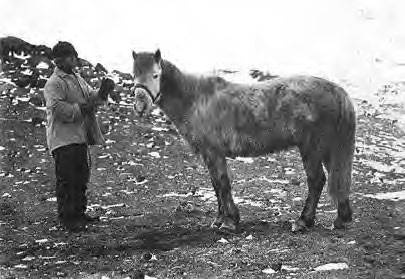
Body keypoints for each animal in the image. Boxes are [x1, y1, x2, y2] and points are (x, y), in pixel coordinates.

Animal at [131, 49, 356, 233]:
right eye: (134, 75)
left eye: (156, 75)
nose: (140, 106)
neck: (195, 100)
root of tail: (336, 91)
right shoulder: (209, 155)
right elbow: (216, 184)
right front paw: (220, 219)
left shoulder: (213, 152)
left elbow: (222, 184)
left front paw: (229, 221)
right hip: (327, 150)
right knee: (337, 179)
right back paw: (341, 219)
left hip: (312, 149)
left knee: (317, 181)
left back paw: (303, 221)